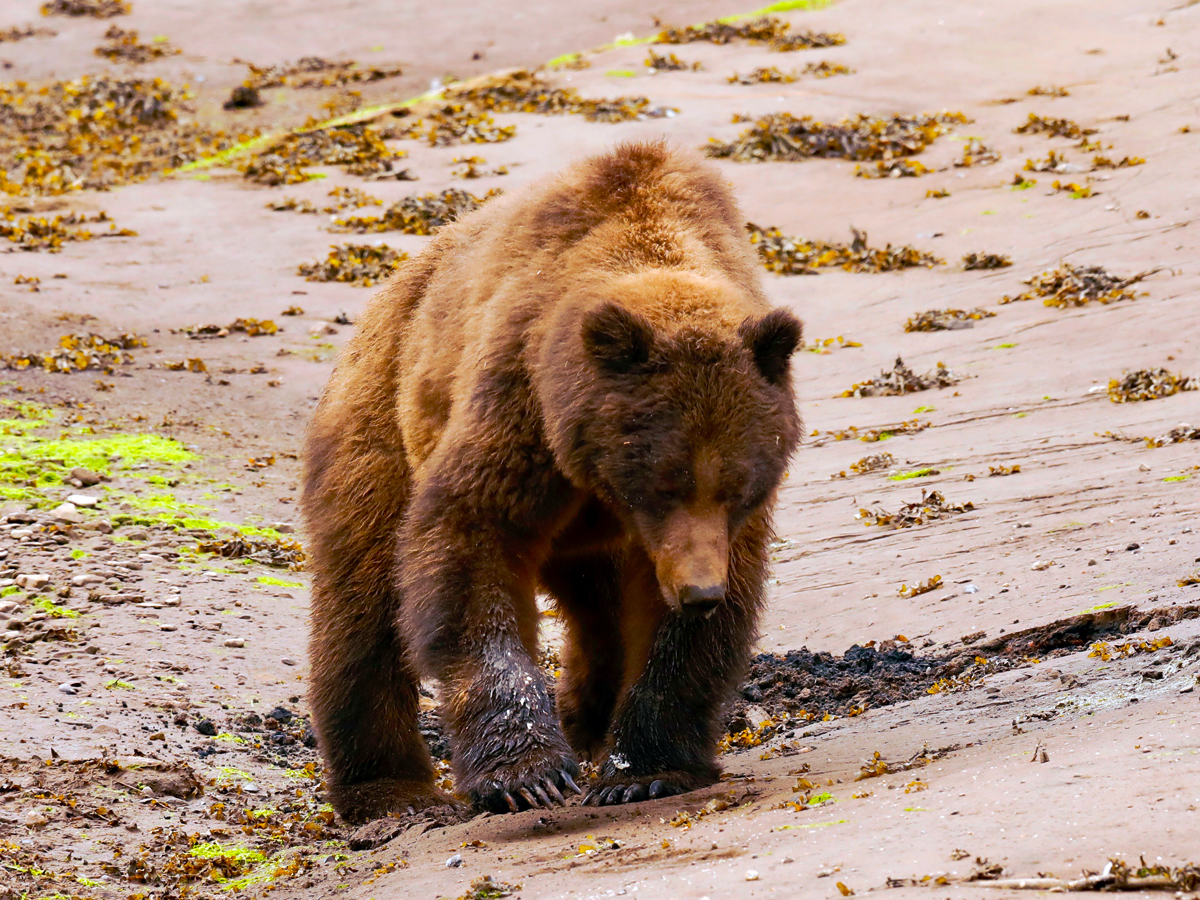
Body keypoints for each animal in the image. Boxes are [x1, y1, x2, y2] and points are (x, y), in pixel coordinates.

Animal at [304, 141, 801, 825]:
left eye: (738, 488)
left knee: (600, 608)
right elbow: (471, 539)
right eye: (665, 484)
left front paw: (643, 770)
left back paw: (587, 713)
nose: (700, 591)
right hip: (378, 424)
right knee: (364, 599)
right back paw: (388, 788)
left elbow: (685, 632)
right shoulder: (520, 403)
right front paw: (527, 775)